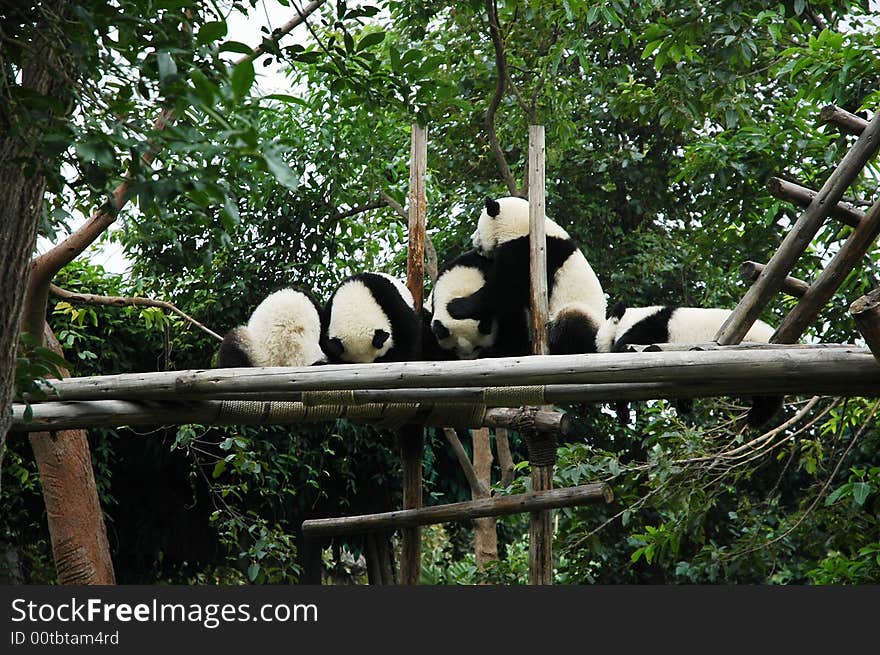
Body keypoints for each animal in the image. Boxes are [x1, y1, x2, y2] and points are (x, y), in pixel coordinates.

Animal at [474, 196, 604, 356]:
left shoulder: (525, 251)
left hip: (580, 312)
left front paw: (459, 306)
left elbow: (505, 290)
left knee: (572, 322)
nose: (472, 239)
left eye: (479, 229)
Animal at [600, 304, 784, 430]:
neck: (633, 317)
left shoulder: (650, 330)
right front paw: (686, 405)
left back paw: (758, 416)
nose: (598, 347)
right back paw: (758, 416)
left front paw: (623, 413)